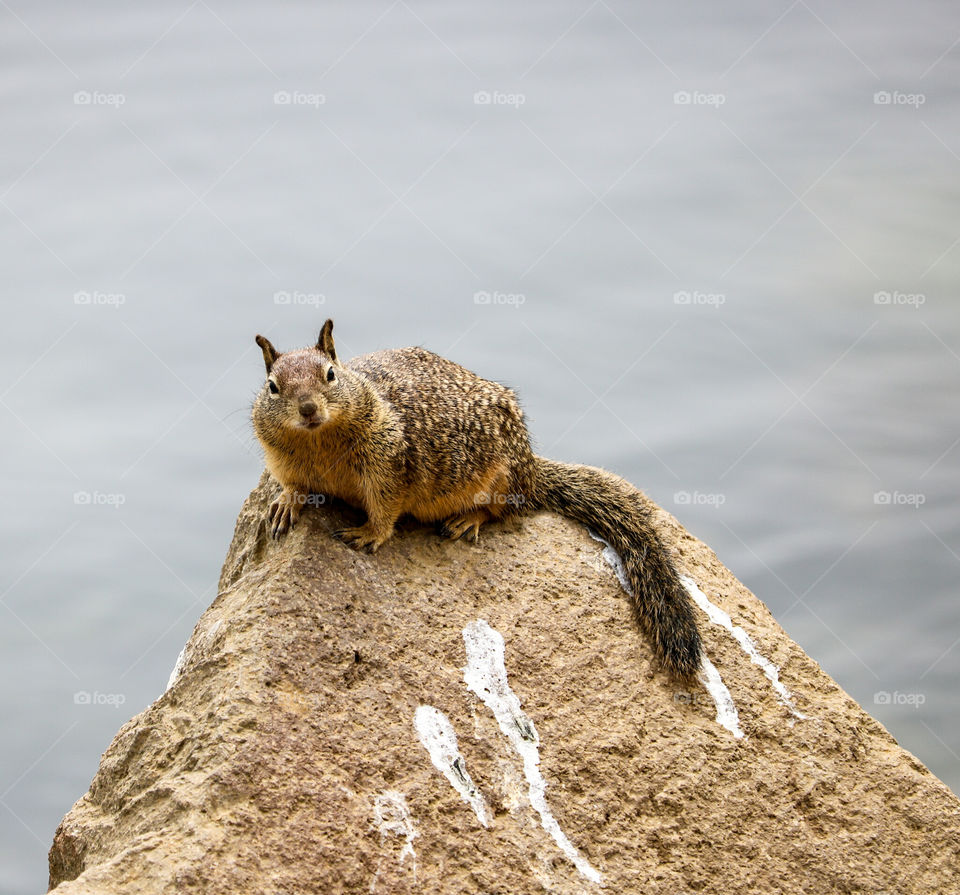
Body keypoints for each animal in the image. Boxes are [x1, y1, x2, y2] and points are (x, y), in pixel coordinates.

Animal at [251, 320, 702, 680]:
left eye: (330, 374)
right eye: (273, 387)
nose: (308, 409)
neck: (318, 442)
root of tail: (532, 468)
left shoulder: (388, 463)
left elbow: (385, 507)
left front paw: (368, 533)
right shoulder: (286, 464)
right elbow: (294, 487)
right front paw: (286, 504)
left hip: (501, 478)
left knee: (507, 510)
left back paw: (469, 519)